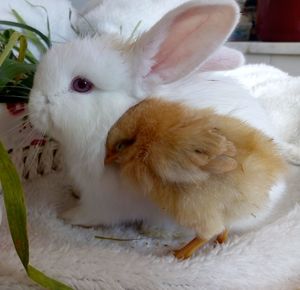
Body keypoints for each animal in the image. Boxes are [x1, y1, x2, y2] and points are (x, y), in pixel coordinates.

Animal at [28, 0, 284, 228]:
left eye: (82, 85)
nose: (33, 106)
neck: (116, 119)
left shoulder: (104, 200)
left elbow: (93, 214)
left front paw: (68, 216)